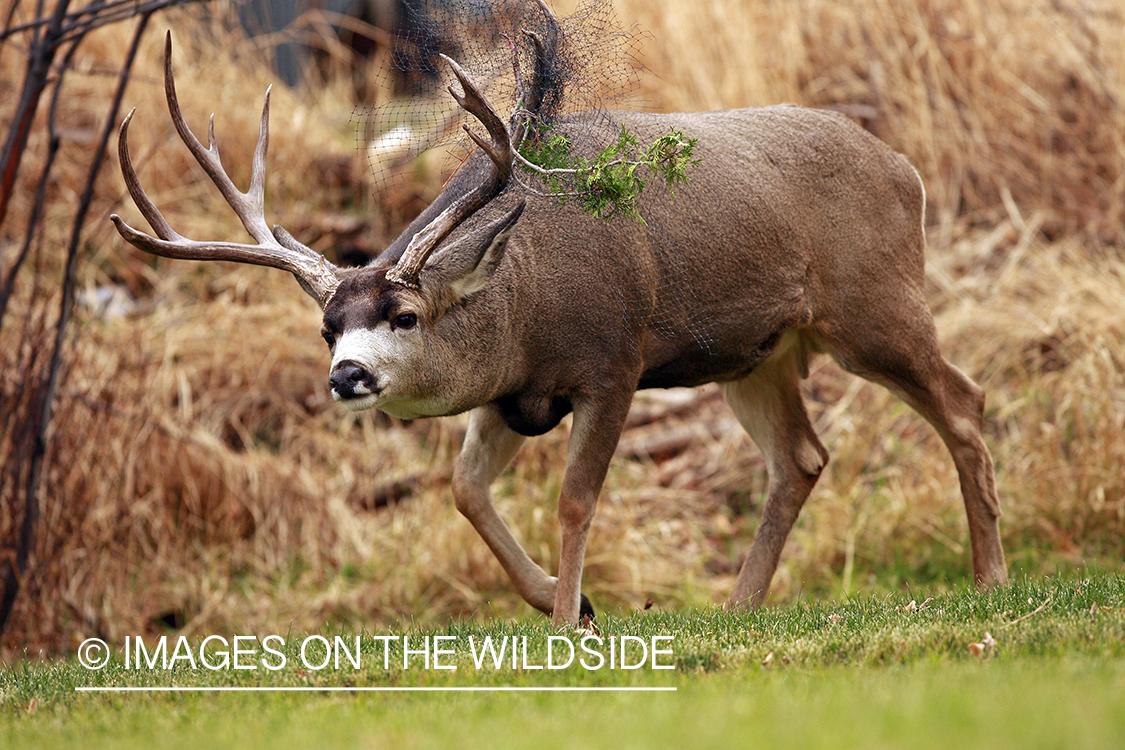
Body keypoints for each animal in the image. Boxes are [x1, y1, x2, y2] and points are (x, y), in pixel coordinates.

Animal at [112, 18, 1008, 625]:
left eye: (404, 315)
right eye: (327, 328)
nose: (348, 375)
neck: (525, 298)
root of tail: (904, 169)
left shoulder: (611, 361)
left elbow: (576, 500)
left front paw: (567, 620)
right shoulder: (510, 394)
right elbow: (464, 489)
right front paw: (563, 602)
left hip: (875, 302)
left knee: (963, 401)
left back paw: (989, 576)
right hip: (758, 355)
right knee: (801, 457)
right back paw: (738, 608)